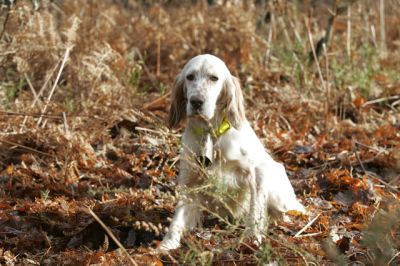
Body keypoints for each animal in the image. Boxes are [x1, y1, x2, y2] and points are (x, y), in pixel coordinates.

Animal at [159, 54, 304, 251]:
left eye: (214, 78)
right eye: (190, 77)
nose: (196, 101)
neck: (211, 134)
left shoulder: (257, 172)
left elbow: (255, 211)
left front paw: (252, 239)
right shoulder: (189, 180)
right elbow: (178, 218)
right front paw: (167, 244)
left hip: (279, 193)